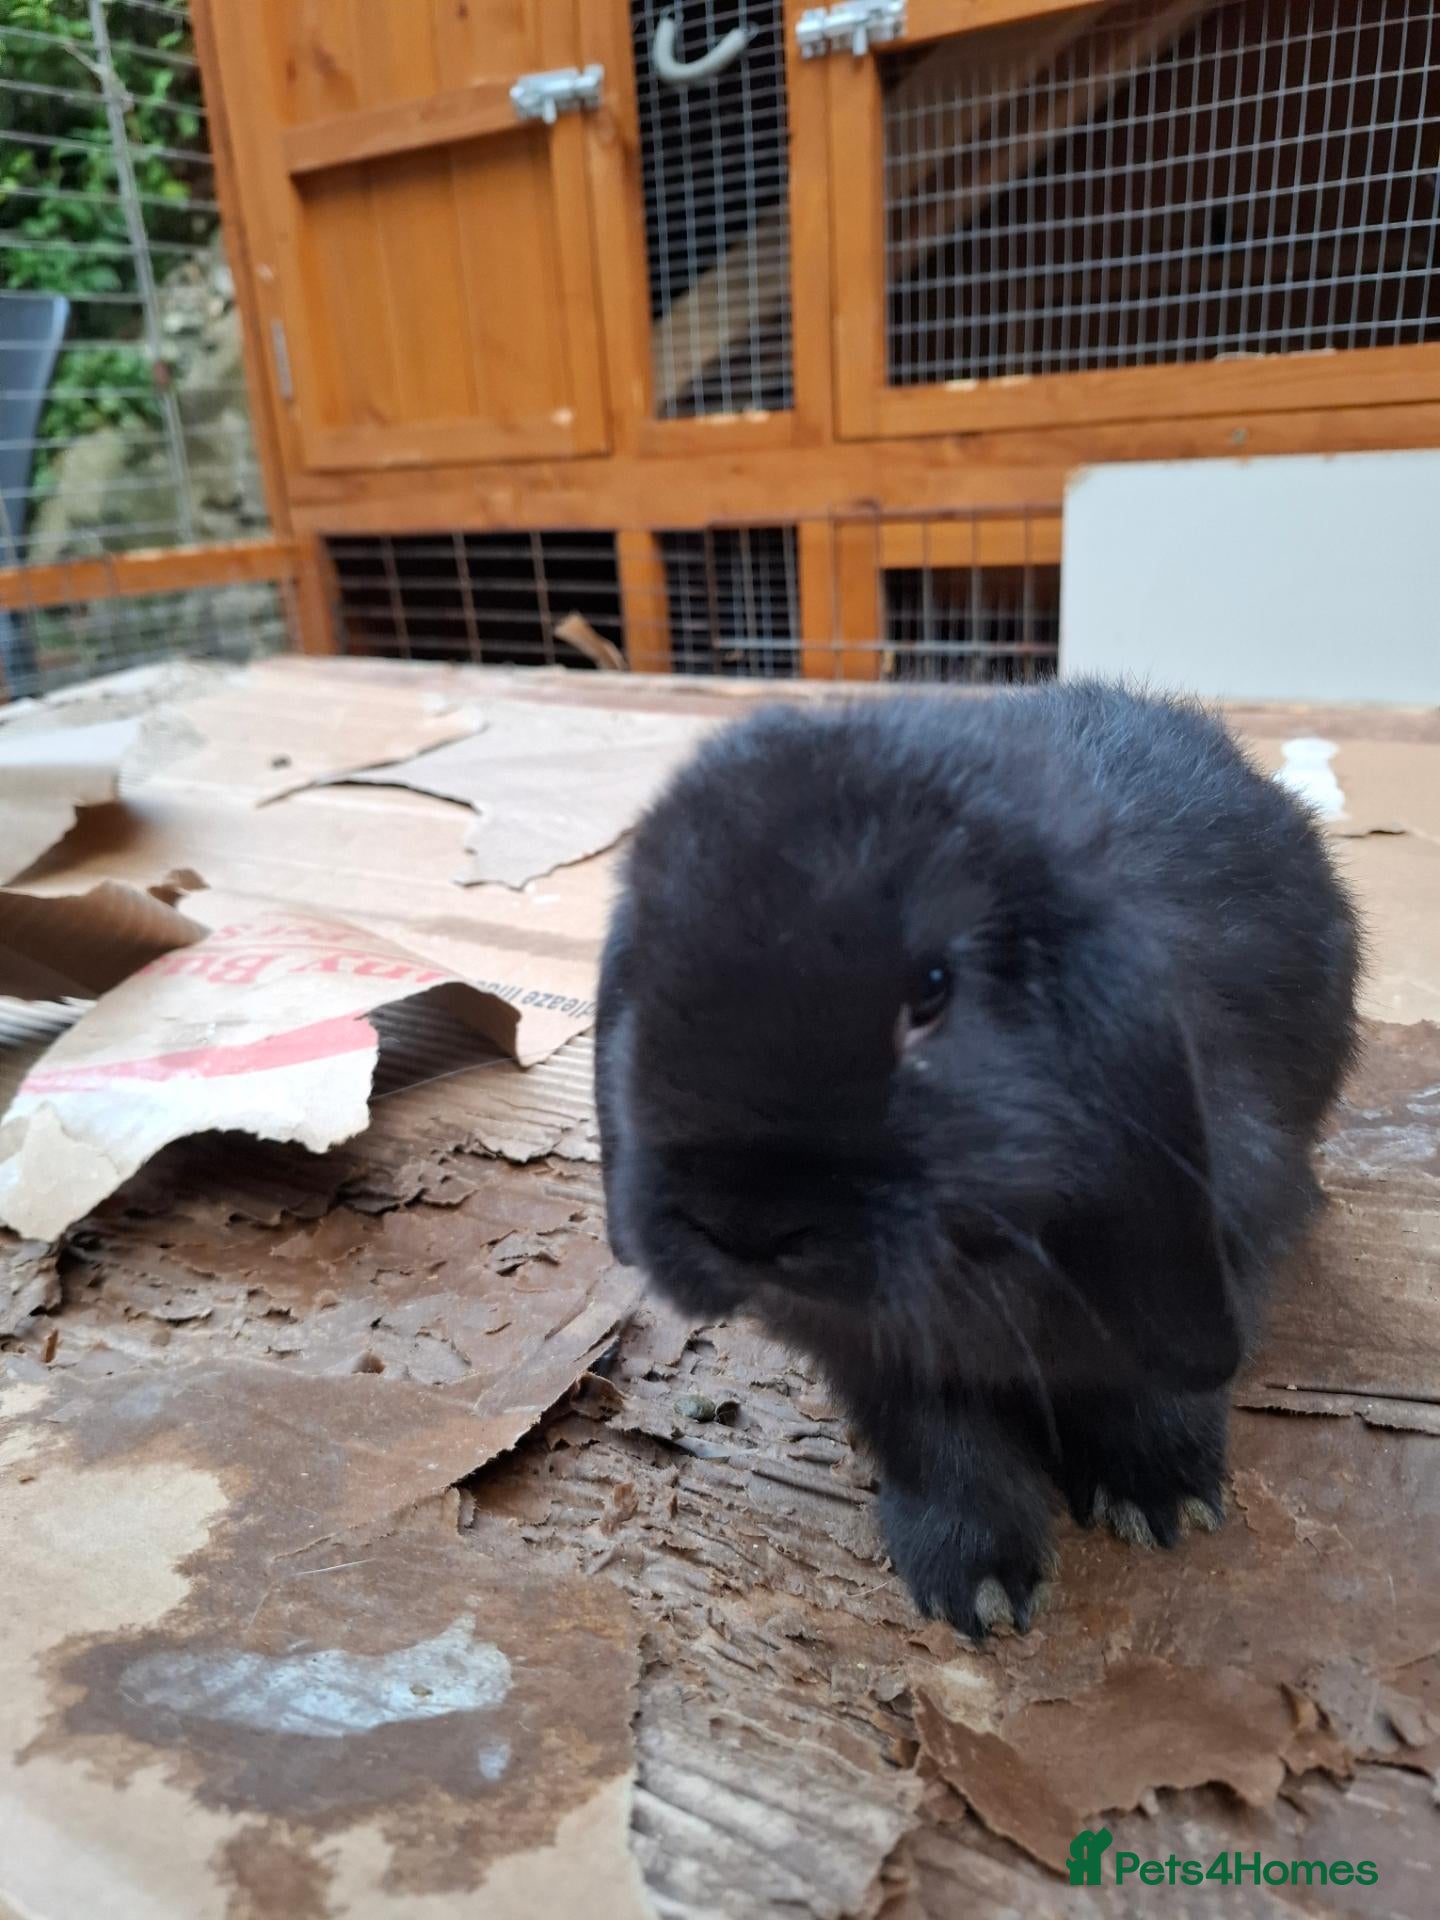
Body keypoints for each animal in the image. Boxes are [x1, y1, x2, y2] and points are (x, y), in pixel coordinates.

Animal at [595, 682, 1360, 1638]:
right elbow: (935, 1438)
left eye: (931, 990)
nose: (741, 1220)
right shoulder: (871, 1346)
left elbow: (1151, 1382)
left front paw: (1159, 1499)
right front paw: (977, 1581)